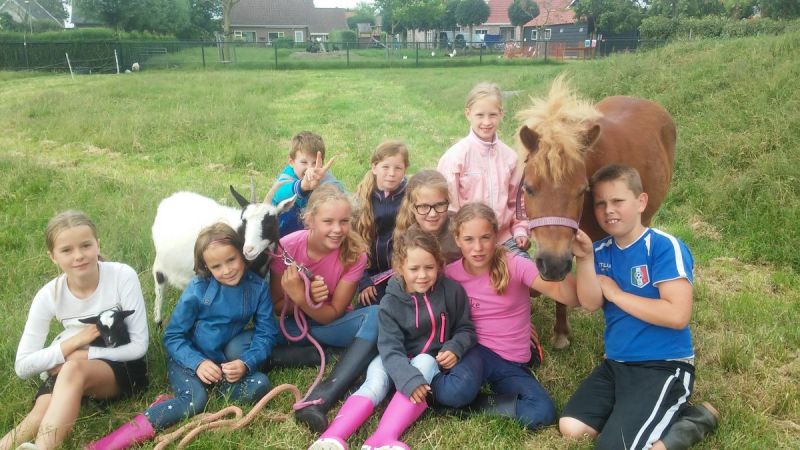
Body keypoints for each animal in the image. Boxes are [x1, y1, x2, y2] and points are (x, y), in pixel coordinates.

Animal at [151, 181, 294, 326]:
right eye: (244, 220)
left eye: (270, 220)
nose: (249, 250)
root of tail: (170, 199)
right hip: (160, 263)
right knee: (159, 283)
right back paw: (158, 321)